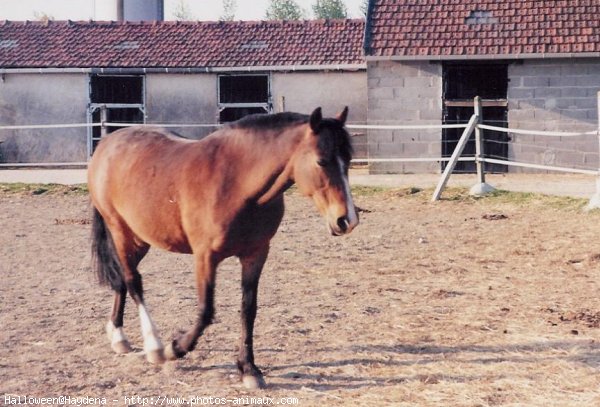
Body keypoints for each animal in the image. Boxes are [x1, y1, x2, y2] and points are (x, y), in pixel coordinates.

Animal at [86, 107, 358, 390]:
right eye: (321, 161)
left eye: (348, 159)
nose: (346, 220)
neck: (237, 184)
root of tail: (107, 143)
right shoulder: (205, 257)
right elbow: (206, 311)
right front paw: (176, 348)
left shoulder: (256, 254)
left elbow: (248, 310)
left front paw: (248, 369)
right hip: (121, 232)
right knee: (133, 281)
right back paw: (154, 346)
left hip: (140, 239)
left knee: (121, 280)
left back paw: (118, 336)